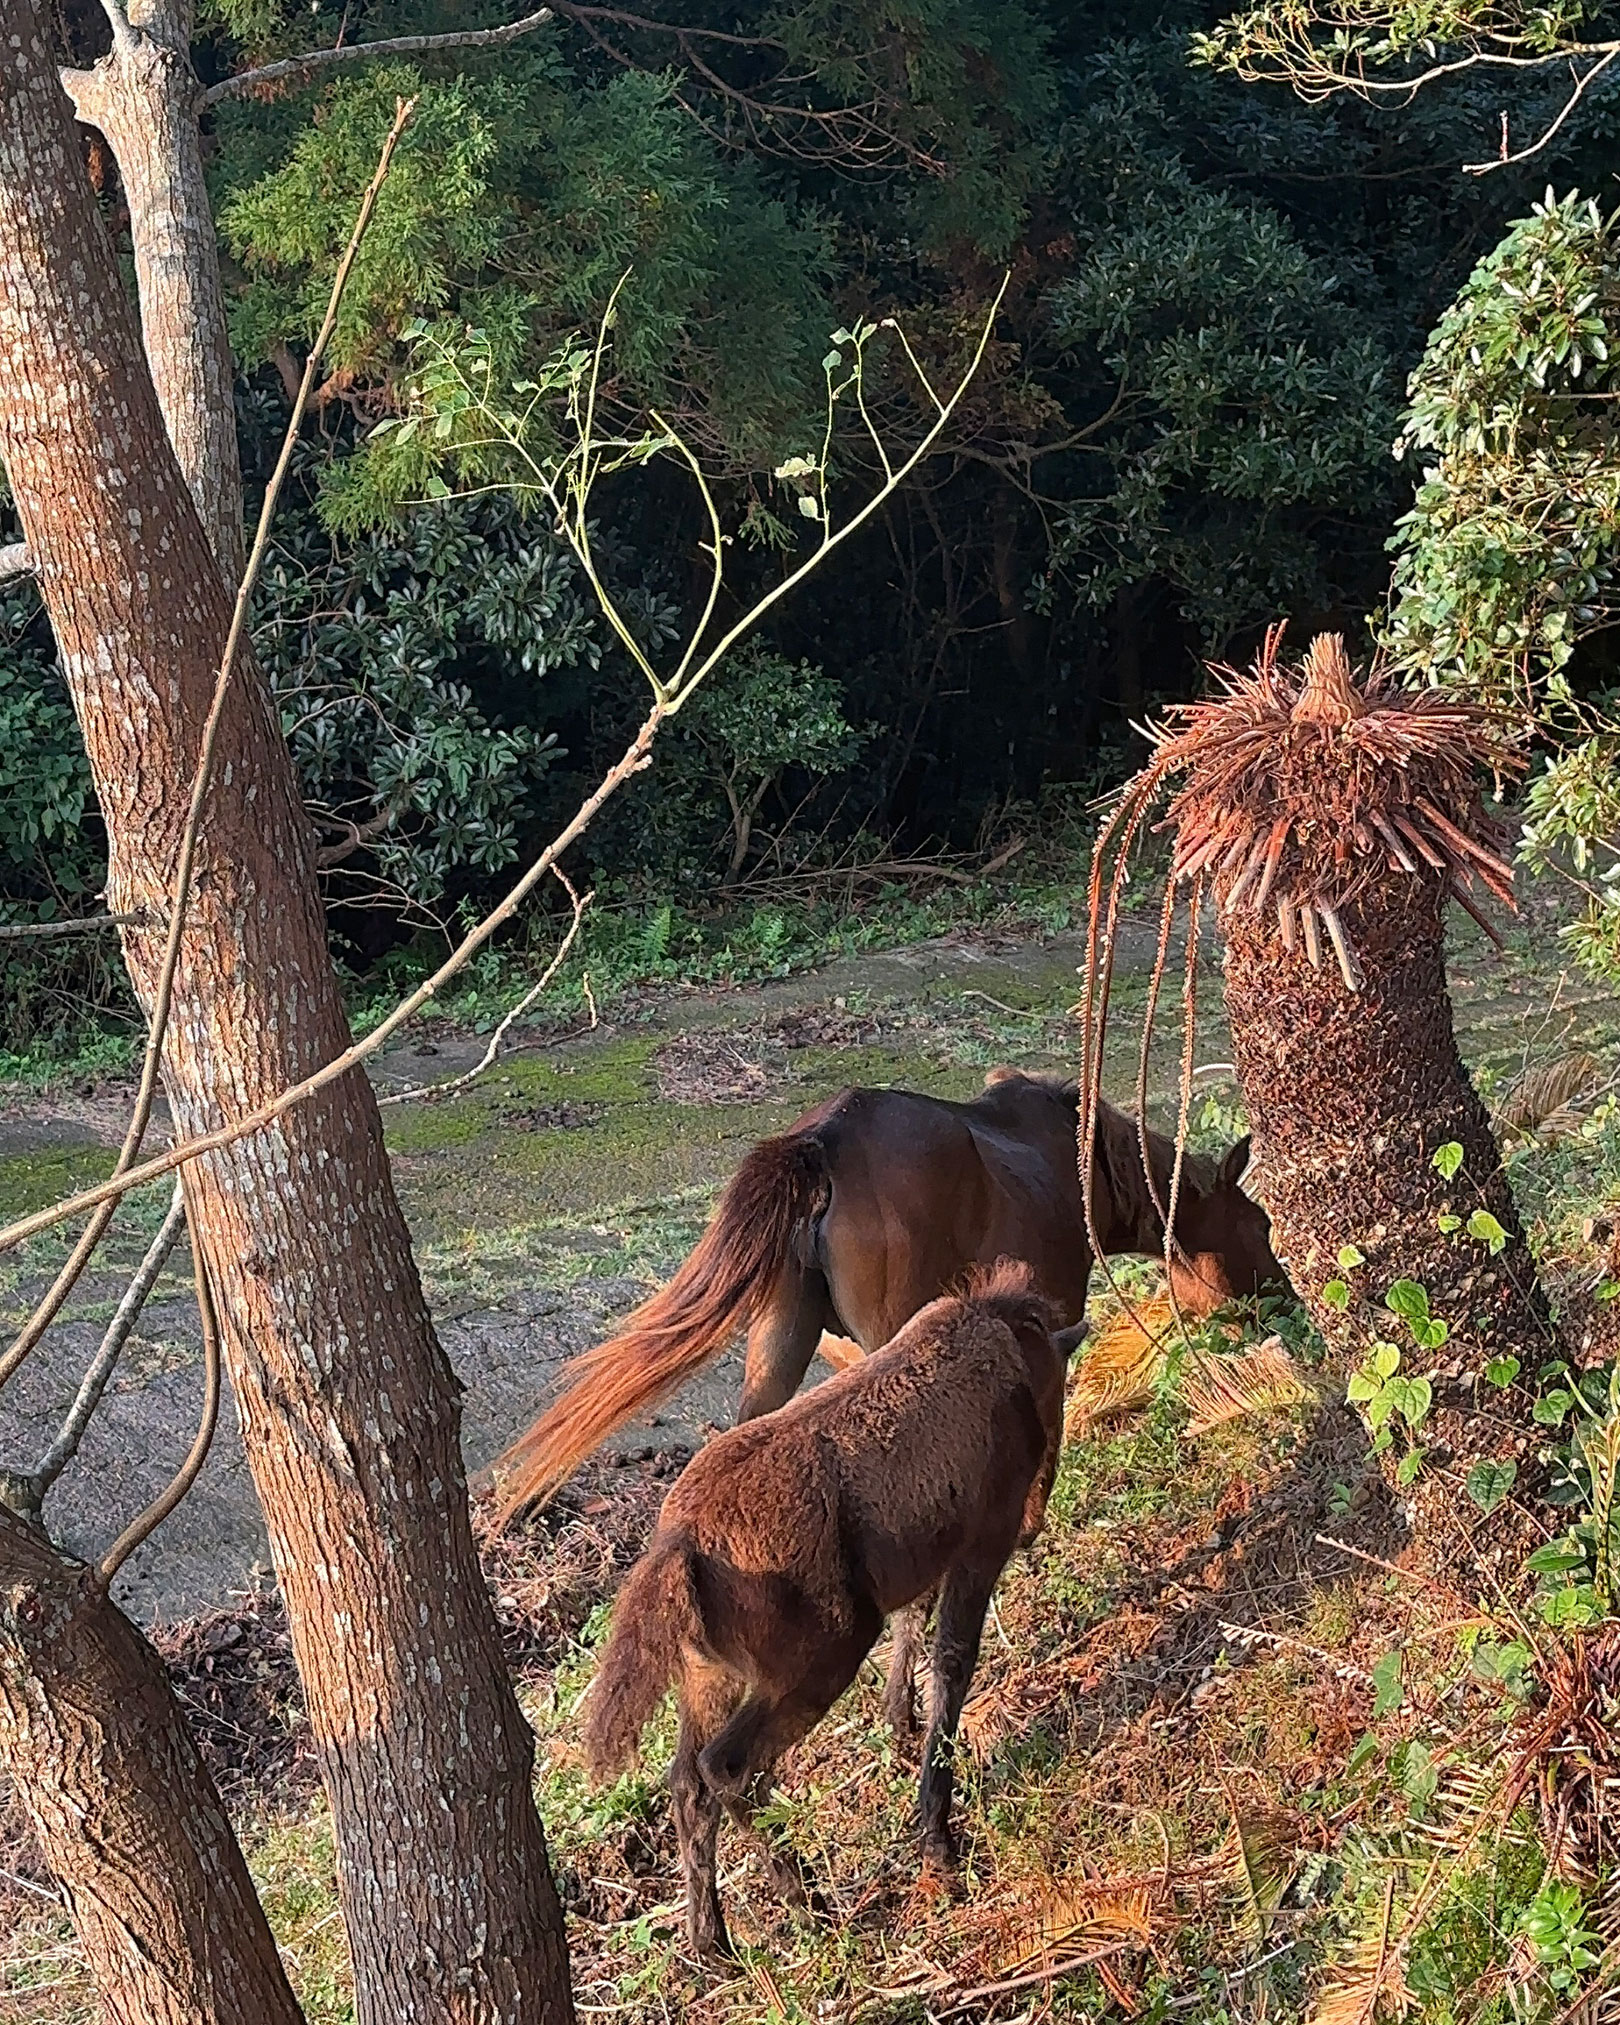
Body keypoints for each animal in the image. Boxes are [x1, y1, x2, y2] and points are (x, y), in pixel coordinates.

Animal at [587, 1263, 1069, 1960]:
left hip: (711, 1679)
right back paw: (805, 1900)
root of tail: (680, 1546)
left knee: (686, 1784)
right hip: (820, 1661)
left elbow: (914, 1627)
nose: (1035, 1524)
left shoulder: (926, 1561)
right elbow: (952, 1665)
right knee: (726, 1768)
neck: (1003, 1349)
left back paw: (712, 1943)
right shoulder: (979, 1545)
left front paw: (901, 1725)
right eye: (1056, 1396)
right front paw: (938, 1845)